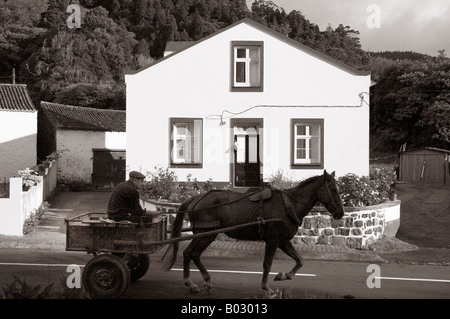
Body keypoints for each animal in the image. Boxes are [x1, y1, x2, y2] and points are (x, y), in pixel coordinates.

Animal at [163, 170, 344, 296]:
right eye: (333, 189)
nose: (341, 213)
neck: (289, 204)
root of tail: (196, 198)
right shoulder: (273, 240)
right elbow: (267, 264)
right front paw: (266, 288)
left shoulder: (283, 241)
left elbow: (299, 260)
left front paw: (284, 275)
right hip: (206, 233)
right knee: (191, 253)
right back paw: (193, 282)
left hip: (204, 234)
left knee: (191, 253)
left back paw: (200, 282)